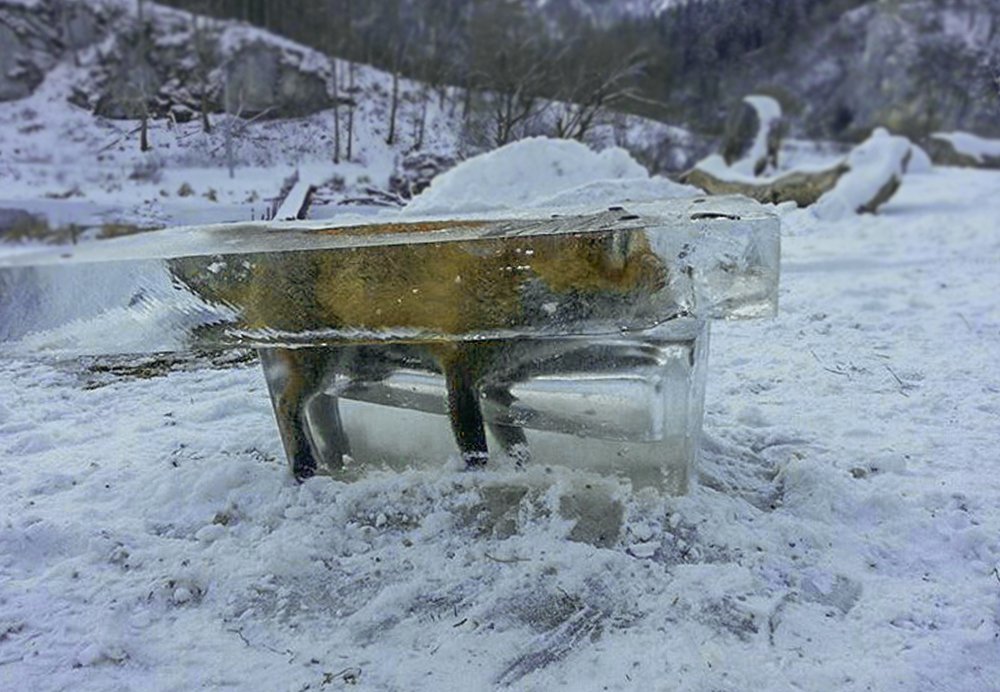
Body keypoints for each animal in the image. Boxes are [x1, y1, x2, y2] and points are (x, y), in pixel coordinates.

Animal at [170, 214, 666, 479]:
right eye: (661, 272)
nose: (680, 283)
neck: (525, 288)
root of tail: (260, 265)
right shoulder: (462, 368)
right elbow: (474, 441)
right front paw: (480, 477)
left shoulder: (503, 379)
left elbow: (517, 438)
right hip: (317, 358)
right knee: (290, 404)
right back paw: (306, 465)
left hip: (353, 365)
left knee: (321, 404)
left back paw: (337, 451)